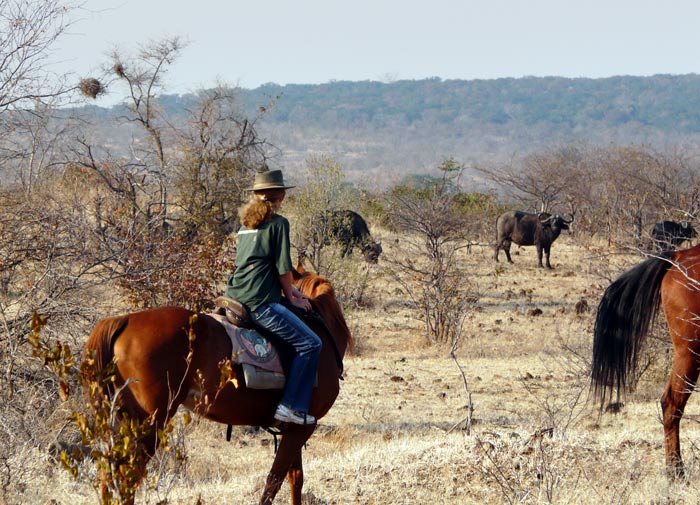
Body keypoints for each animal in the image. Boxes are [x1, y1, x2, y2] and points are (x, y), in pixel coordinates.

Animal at [80, 264, 353, 504]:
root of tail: (124, 320)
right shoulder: (303, 427)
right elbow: (274, 481)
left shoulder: (294, 428)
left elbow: (294, 478)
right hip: (149, 423)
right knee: (127, 477)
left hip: (121, 420)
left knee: (109, 476)